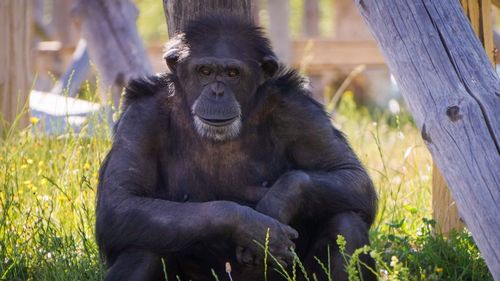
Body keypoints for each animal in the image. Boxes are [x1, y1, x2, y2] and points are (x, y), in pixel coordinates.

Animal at [95, 15, 376, 280]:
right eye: (204, 71)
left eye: (232, 73)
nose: (217, 92)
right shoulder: (141, 116)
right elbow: (119, 202)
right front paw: (250, 225)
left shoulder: (298, 110)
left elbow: (351, 174)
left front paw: (277, 203)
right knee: (144, 245)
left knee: (346, 221)